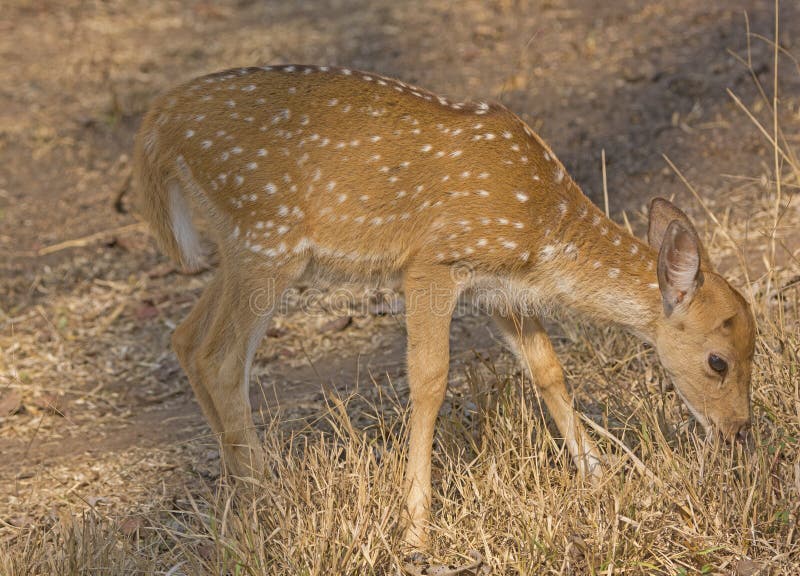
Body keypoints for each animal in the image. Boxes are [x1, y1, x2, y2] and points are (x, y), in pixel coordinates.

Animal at [133, 63, 756, 548]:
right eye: (717, 361)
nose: (739, 431)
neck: (542, 228)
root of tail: (157, 122)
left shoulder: (500, 289)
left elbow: (549, 370)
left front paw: (604, 477)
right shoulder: (434, 261)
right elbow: (431, 378)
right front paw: (415, 527)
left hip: (243, 248)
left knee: (186, 339)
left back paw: (239, 497)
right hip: (265, 239)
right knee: (219, 357)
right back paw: (271, 507)